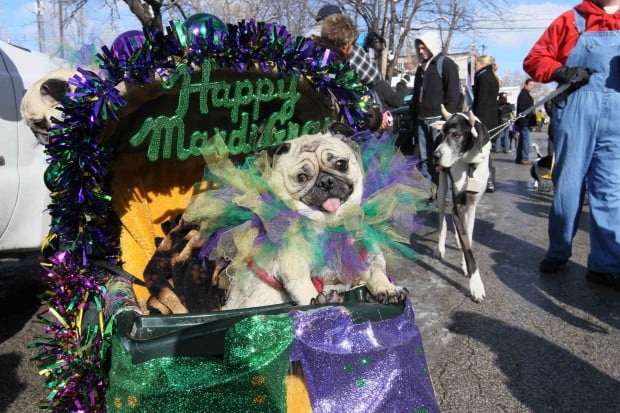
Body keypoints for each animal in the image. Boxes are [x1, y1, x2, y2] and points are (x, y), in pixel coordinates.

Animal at [216, 122, 410, 308]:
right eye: (301, 177)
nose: (325, 181)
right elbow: (308, 291)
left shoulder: (368, 254)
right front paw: (320, 301)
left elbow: (376, 271)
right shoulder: (296, 270)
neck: (330, 224)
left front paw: (388, 289)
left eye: (340, 164)